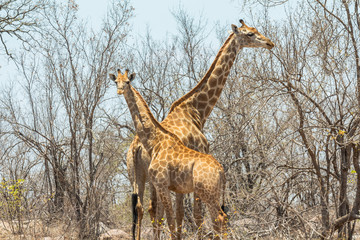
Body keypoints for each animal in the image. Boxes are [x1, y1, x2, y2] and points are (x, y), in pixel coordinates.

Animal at [109, 68, 228, 239]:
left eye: (127, 81)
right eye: (115, 81)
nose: (119, 90)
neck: (155, 141)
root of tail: (221, 170)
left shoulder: (162, 185)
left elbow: (171, 220)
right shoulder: (169, 187)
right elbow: (171, 218)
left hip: (207, 192)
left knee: (218, 218)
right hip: (212, 192)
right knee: (219, 218)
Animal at [125, 19, 274, 239]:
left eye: (256, 30)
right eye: (249, 34)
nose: (270, 43)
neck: (196, 110)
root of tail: (136, 147)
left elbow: (179, 214)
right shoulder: (200, 156)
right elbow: (193, 214)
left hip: (135, 174)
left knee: (143, 208)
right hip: (151, 177)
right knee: (155, 208)